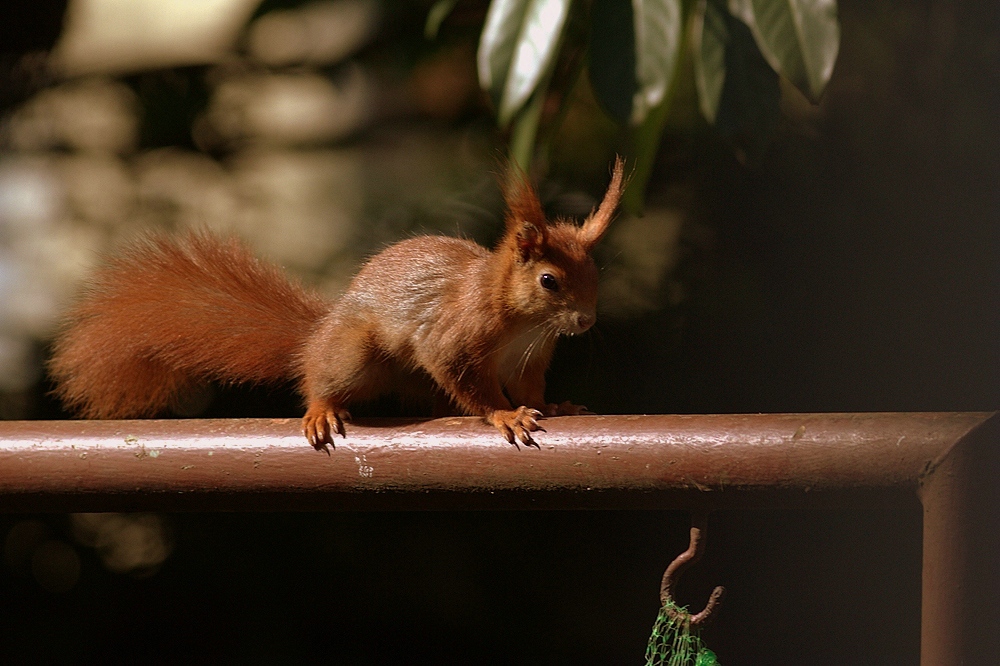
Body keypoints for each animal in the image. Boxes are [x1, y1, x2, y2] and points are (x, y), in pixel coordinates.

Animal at [48, 156, 624, 448]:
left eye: (595, 273)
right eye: (549, 281)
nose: (586, 320)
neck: (524, 324)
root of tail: (318, 333)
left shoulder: (531, 358)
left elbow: (531, 389)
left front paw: (555, 406)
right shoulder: (454, 336)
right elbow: (468, 381)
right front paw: (504, 415)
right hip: (353, 353)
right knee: (320, 380)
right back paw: (321, 409)